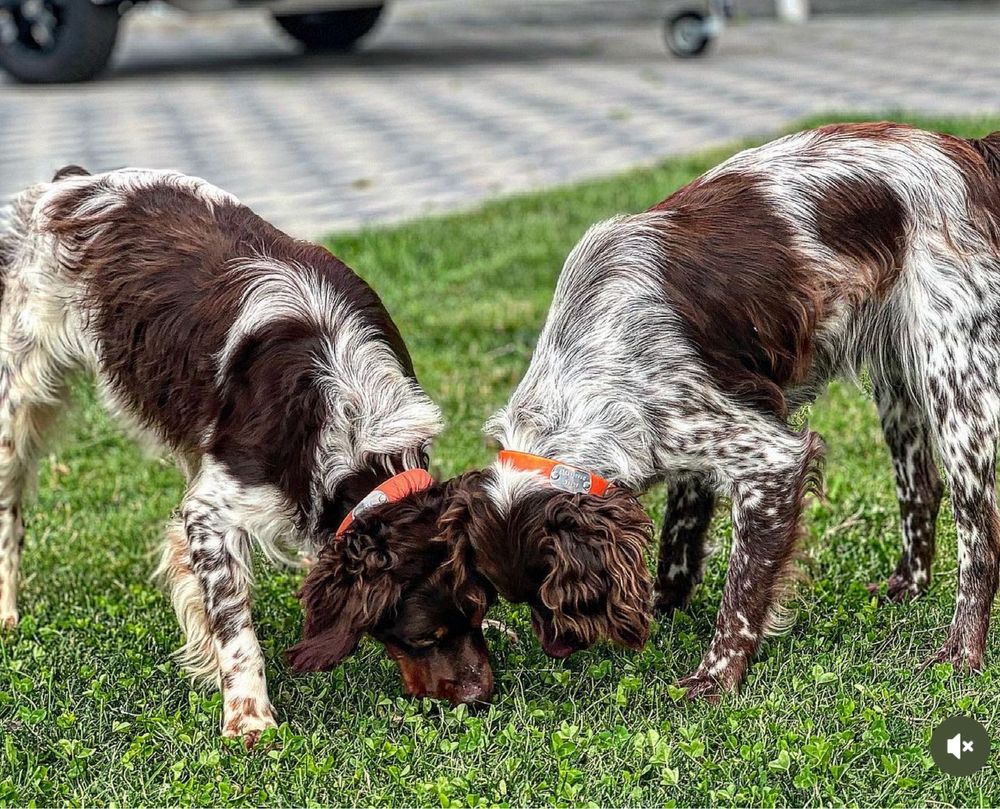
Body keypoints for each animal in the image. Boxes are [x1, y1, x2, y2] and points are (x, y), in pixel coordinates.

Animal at [0, 166, 496, 744]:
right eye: (422, 638)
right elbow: (236, 629)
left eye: (478, 612)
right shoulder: (212, 511)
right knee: (11, 514)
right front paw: (248, 714)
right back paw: (8, 610)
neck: (350, 410)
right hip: (19, 406)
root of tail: (70, 182)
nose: (481, 697)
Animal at [400, 123, 1000, 696]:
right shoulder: (683, 444)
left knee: (979, 535)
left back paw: (960, 653)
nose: (557, 649)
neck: (592, 358)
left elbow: (741, 592)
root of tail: (968, 150)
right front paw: (665, 606)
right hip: (900, 384)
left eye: (551, 594)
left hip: (956, 386)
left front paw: (716, 676)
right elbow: (679, 538)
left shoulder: (769, 461)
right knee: (921, 488)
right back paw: (908, 586)